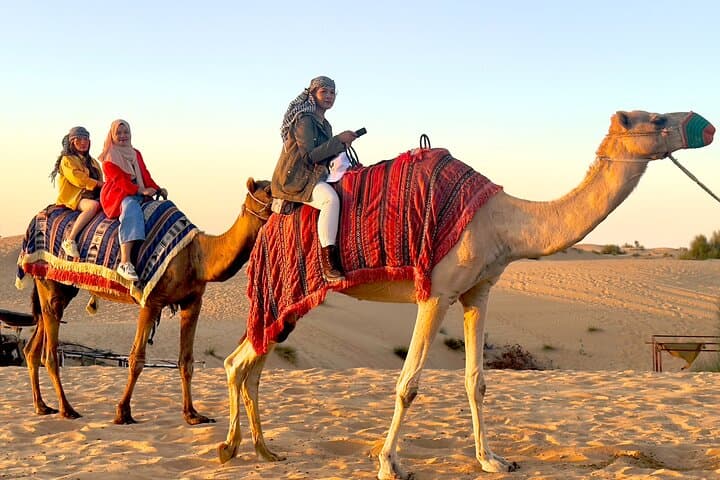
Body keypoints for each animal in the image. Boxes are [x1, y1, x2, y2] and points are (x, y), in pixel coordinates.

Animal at [22, 178, 272, 425]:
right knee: (50, 353)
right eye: (269, 190)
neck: (196, 255)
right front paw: (123, 412)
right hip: (50, 283)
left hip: (60, 287)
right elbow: (136, 359)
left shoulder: (193, 302)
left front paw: (192, 414)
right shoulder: (152, 301)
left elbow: (186, 361)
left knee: (33, 345)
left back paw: (42, 406)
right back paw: (67, 409)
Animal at [218, 111, 715, 479]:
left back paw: (256, 450)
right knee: (240, 361)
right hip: (281, 292)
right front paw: (389, 464)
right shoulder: (436, 292)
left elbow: (477, 381)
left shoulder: (478, 291)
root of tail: (269, 225)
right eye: (654, 118)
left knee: (248, 362)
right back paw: (236, 448)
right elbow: (408, 384)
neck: (502, 220)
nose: (707, 125)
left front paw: (491, 460)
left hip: (284, 305)